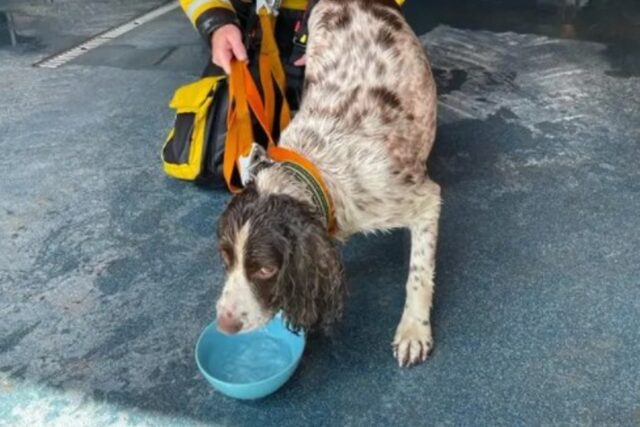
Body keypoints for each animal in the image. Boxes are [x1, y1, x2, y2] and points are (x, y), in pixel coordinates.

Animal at [215, 0, 440, 368]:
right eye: (225, 258)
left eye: (265, 270)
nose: (224, 324)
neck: (315, 166)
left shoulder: (421, 200)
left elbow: (419, 274)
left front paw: (413, 330)